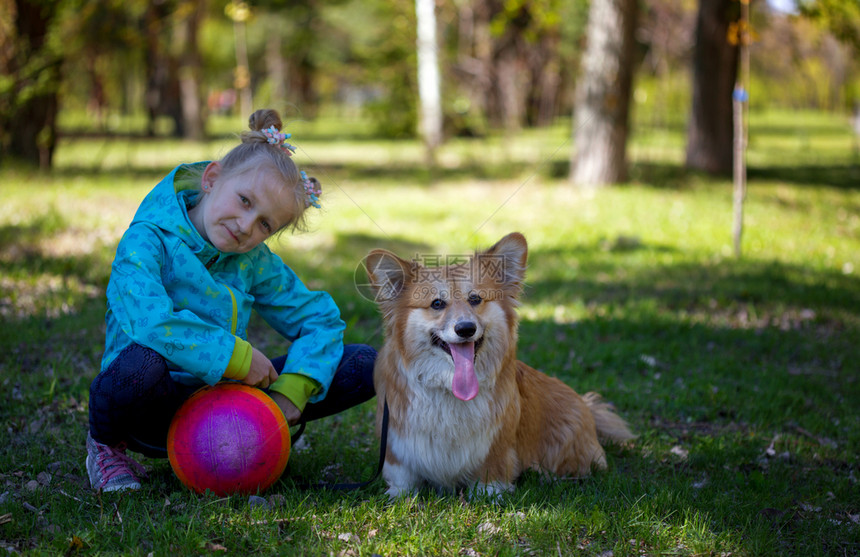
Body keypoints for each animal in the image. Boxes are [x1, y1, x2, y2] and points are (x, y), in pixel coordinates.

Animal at [362, 232, 632, 498]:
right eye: (437, 304)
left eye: (475, 299)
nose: (466, 329)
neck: (450, 390)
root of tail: (588, 408)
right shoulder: (397, 448)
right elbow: (403, 479)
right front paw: (400, 495)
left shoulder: (495, 447)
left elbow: (491, 475)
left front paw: (488, 493)